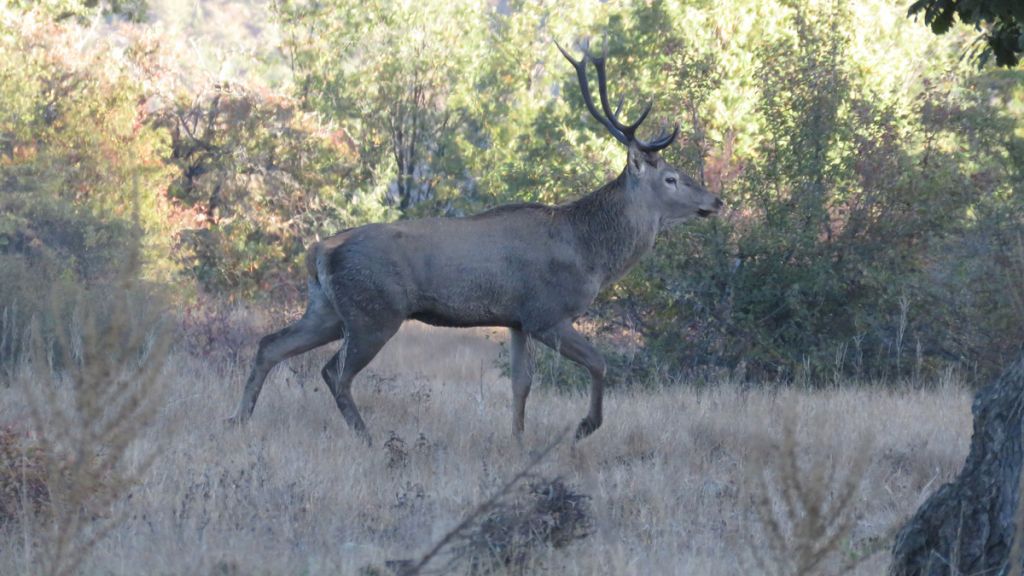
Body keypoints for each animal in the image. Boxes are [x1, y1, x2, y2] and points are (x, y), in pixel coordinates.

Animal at [230, 41, 729, 444]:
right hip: (374, 311)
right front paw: (584, 427)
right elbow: (600, 362)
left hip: (328, 310)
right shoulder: (547, 312)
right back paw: (366, 437)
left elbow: (521, 383)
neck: (591, 254)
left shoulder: (516, 320)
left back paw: (238, 420)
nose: (716, 200)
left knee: (270, 345)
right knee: (333, 372)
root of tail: (318, 251)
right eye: (672, 177)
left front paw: (517, 440)